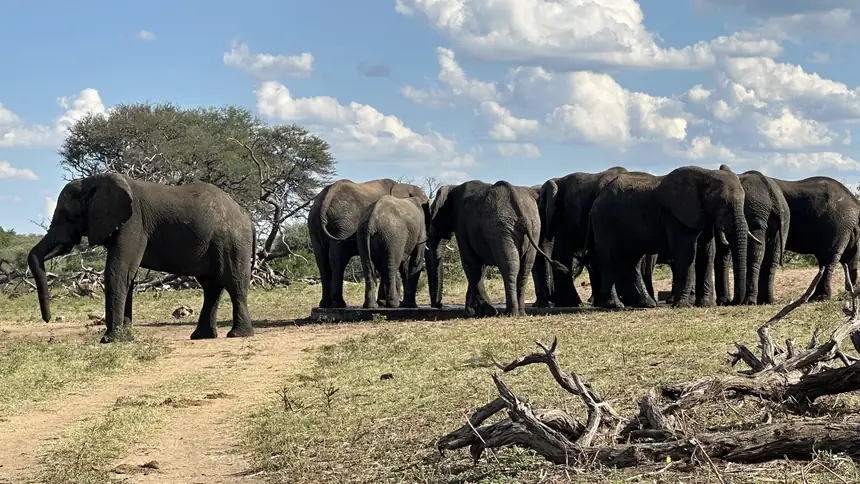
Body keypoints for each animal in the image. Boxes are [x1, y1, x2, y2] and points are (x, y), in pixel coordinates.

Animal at [28, 173, 256, 343]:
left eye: (70, 216)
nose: (48, 320)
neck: (95, 182)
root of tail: (246, 216)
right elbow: (127, 275)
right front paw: (126, 338)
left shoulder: (133, 223)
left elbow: (117, 271)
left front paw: (110, 340)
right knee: (211, 287)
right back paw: (202, 337)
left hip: (232, 241)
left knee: (234, 283)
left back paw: (237, 335)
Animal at [308, 178, 427, 308]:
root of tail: (327, 198)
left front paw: (382, 302)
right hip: (343, 224)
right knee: (338, 260)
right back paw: (339, 304)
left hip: (315, 226)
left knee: (322, 262)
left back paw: (325, 304)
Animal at [426, 180, 566, 317]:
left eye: (432, 216)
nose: (439, 305)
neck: (453, 187)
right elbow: (479, 267)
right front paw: (475, 313)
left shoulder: (461, 225)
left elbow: (470, 263)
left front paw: (487, 312)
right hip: (532, 228)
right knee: (524, 268)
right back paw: (521, 314)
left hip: (500, 229)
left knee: (509, 267)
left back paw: (510, 314)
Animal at [588, 166, 752, 309]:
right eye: (723, 204)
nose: (731, 302)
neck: (705, 174)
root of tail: (597, 199)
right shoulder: (676, 216)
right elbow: (686, 253)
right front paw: (683, 306)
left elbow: (707, 253)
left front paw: (705, 305)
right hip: (605, 222)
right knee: (610, 258)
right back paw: (615, 305)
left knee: (632, 260)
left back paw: (645, 303)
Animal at [713, 166, 791, 305]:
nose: (731, 302)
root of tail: (774, 198)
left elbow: (723, 249)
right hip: (784, 219)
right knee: (772, 257)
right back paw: (767, 301)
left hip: (756, 214)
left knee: (754, 254)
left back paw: (749, 301)